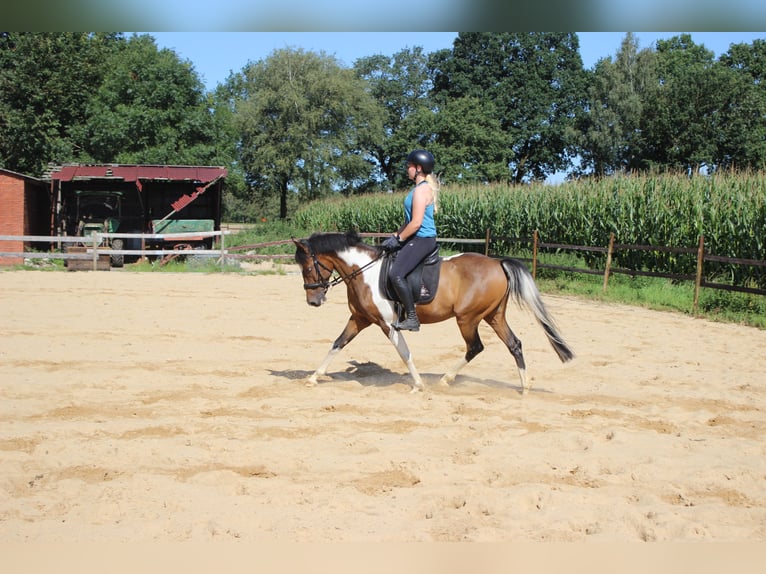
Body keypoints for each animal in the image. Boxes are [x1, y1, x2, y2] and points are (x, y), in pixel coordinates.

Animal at [294, 232, 576, 394]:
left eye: (307, 267)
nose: (313, 301)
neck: (364, 271)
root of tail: (498, 263)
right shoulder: (360, 319)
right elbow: (337, 344)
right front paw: (313, 378)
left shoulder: (387, 324)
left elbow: (404, 352)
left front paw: (419, 385)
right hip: (493, 315)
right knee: (514, 344)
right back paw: (524, 386)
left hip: (467, 319)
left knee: (475, 347)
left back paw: (446, 379)